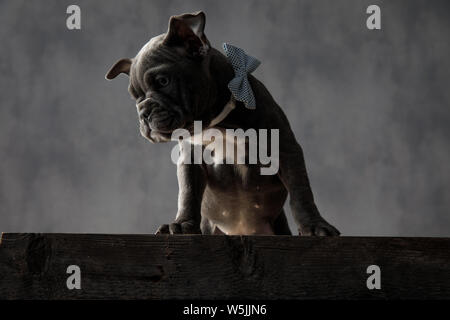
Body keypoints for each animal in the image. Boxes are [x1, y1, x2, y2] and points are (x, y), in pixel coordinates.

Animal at [105, 11, 338, 236]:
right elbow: (188, 194)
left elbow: (300, 193)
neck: (218, 124)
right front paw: (182, 225)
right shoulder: (190, 158)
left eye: (163, 81)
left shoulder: (285, 149)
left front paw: (314, 225)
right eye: (135, 96)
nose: (143, 112)